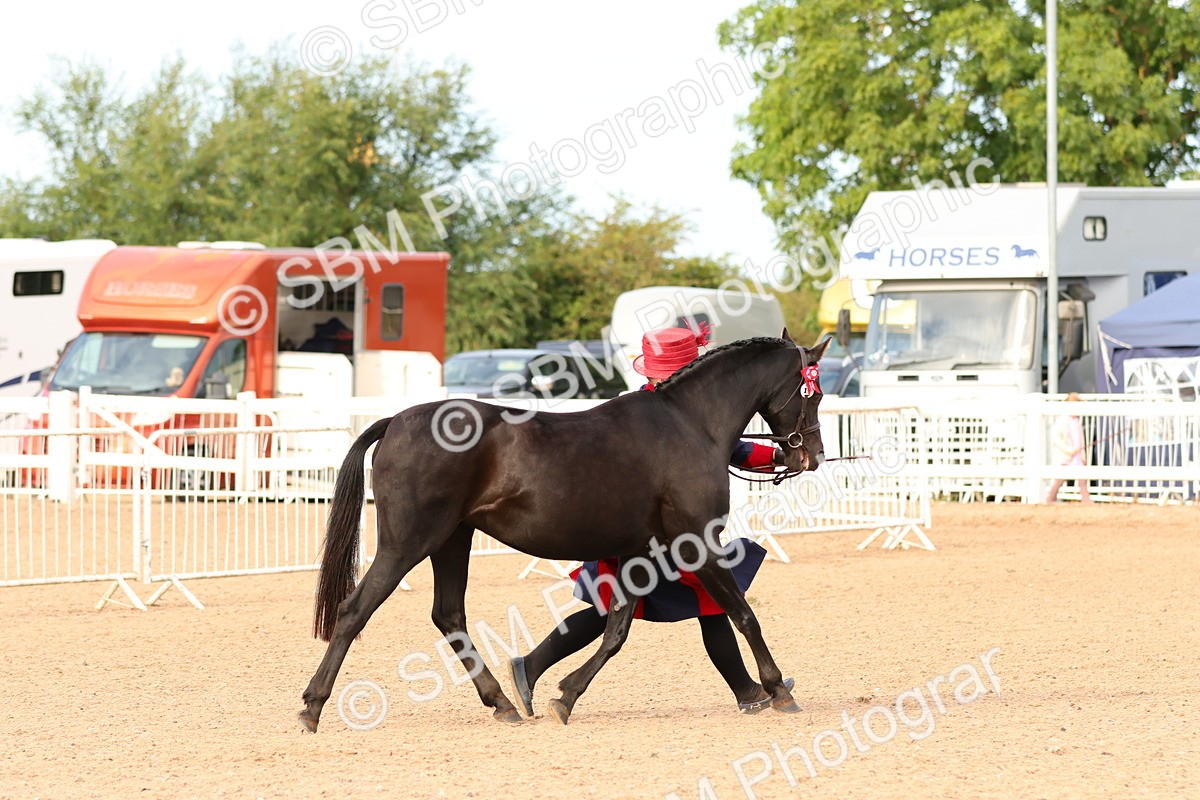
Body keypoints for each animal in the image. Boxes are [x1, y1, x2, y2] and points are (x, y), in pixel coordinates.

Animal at [298, 331, 831, 731]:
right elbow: (742, 614)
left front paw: (566, 695)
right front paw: (777, 688)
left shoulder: (639, 551)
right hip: (409, 543)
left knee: (448, 615)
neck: (689, 424)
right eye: (815, 392)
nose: (811, 455)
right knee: (354, 611)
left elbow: (616, 628)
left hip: (452, 540)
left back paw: (505, 701)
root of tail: (394, 422)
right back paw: (313, 705)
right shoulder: (697, 542)